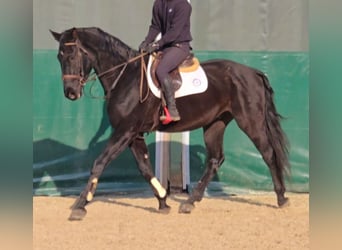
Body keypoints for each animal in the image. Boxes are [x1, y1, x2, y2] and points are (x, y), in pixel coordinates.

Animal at [49, 26, 288, 220]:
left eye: (73, 55)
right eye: (59, 57)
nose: (70, 93)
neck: (125, 77)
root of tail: (253, 72)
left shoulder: (125, 131)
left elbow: (99, 162)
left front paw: (80, 205)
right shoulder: (134, 134)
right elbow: (145, 168)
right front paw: (163, 200)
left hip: (250, 121)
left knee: (268, 153)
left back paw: (282, 198)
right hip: (215, 123)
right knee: (215, 159)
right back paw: (190, 202)